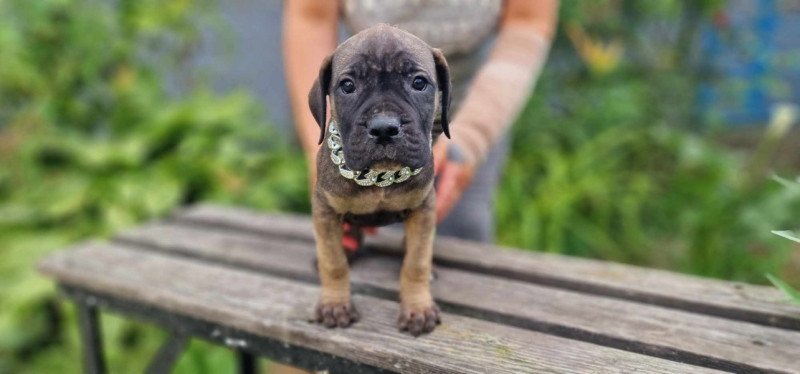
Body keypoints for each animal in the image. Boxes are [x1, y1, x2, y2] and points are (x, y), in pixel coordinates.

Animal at [306, 24, 450, 336]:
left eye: (419, 82)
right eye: (348, 86)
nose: (384, 128)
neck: (378, 178)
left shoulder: (424, 208)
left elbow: (416, 262)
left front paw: (417, 308)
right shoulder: (324, 210)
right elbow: (333, 262)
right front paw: (335, 304)